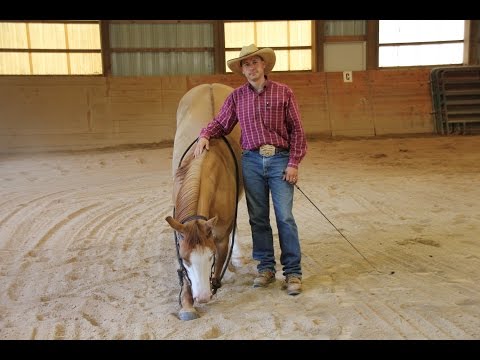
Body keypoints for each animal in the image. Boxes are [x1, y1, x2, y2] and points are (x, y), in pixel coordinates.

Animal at [167, 83, 246, 320]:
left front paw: (215, 283)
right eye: (185, 259)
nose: (202, 297)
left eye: (209, 257)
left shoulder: (220, 236)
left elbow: (220, 261)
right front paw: (187, 303)